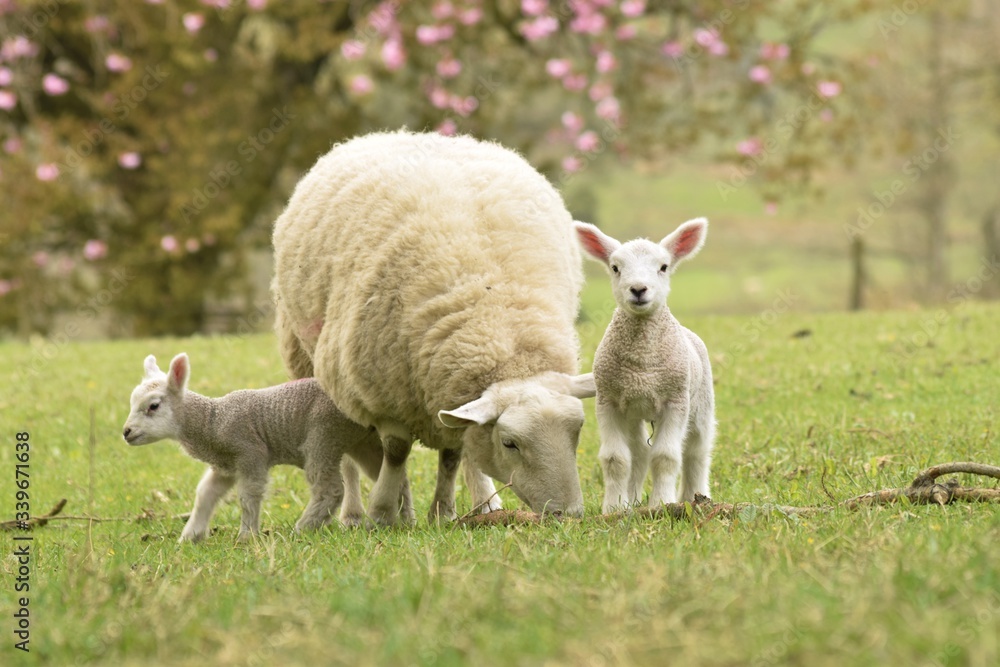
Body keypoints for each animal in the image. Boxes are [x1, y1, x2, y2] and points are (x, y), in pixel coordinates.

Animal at [121, 354, 410, 544]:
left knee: (330, 489)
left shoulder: (250, 453)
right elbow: (205, 494)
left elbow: (248, 495)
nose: (126, 432)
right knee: (394, 475)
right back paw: (403, 521)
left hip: (323, 435)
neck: (212, 420)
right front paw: (190, 536)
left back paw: (303, 528)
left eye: (153, 406)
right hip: (362, 440)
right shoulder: (225, 465)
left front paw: (246, 537)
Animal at [270, 130, 592, 524]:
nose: (569, 515)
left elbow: (453, 454)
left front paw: (442, 512)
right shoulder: (385, 394)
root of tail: (404, 133)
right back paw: (356, 514)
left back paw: (483, 503)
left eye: (577, 431)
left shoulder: (446, 392)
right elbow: (396, 451)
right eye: (510, 443)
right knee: (346, 453)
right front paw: (383, 513)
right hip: (312, 364)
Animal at [576, 218, 716, 512]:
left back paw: (694, 496)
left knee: (697, 452)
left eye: (663, 267)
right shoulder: (608, 402)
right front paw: (614, 508)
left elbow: (665, 457)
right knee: (639, 452)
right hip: (634, 412)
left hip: (701, 405)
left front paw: (661, 503)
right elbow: (616, 458)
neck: (642, 366)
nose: (638, 289)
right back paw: (632, 501)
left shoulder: (676, 401)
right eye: (615, 268)